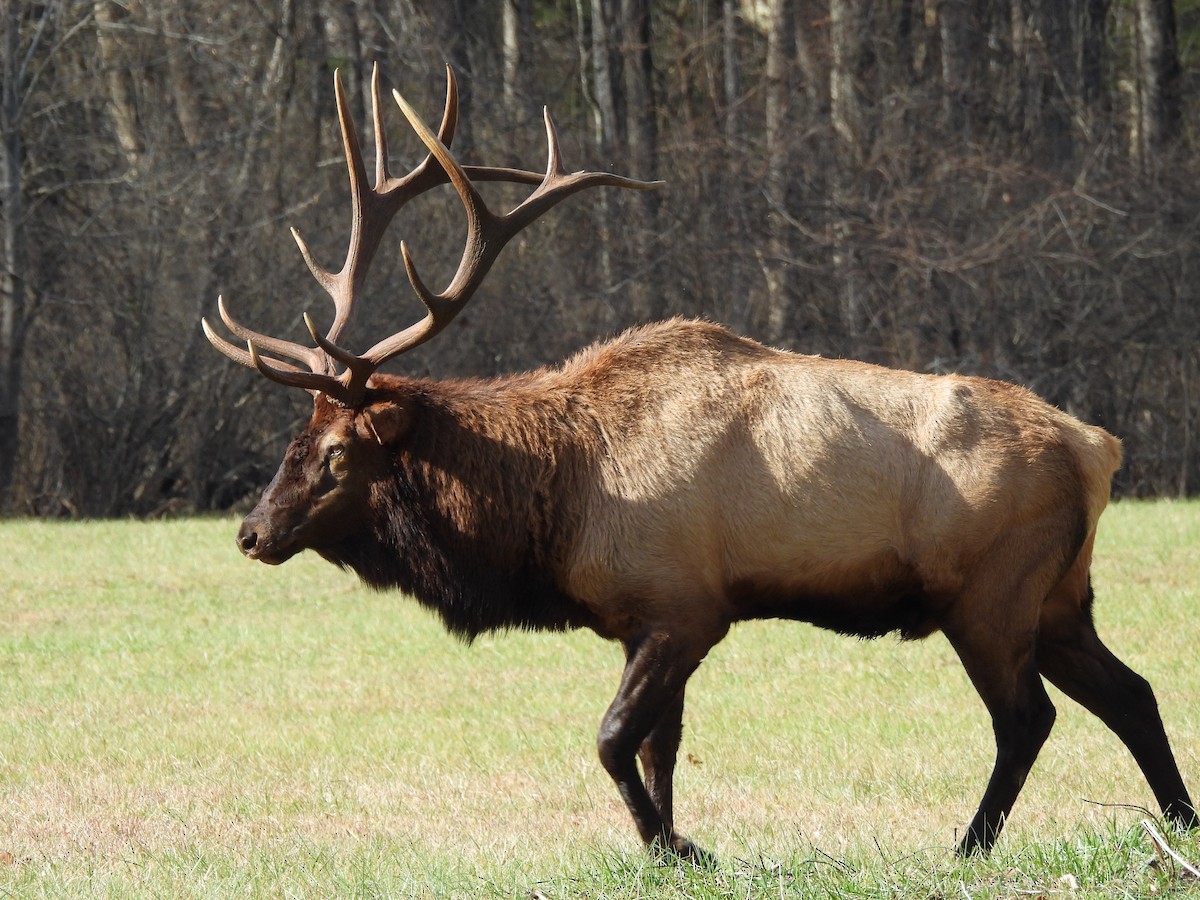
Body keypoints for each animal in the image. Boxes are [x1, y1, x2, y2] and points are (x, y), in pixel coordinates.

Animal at [203, 64, 1197, 863]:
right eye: (293, 443)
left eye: (336, 452)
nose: (251, 532)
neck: (555, 503)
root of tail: (1097, 447)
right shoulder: (653, 619)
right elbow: (659, 746)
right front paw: (670, 843)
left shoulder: (683, 606)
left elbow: (612, 738)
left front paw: (678, 846)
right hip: (1060, 595)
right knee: (1133, 692)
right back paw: (1178, 823)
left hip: (990, 594)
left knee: (1030, 717)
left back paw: (969, 845)